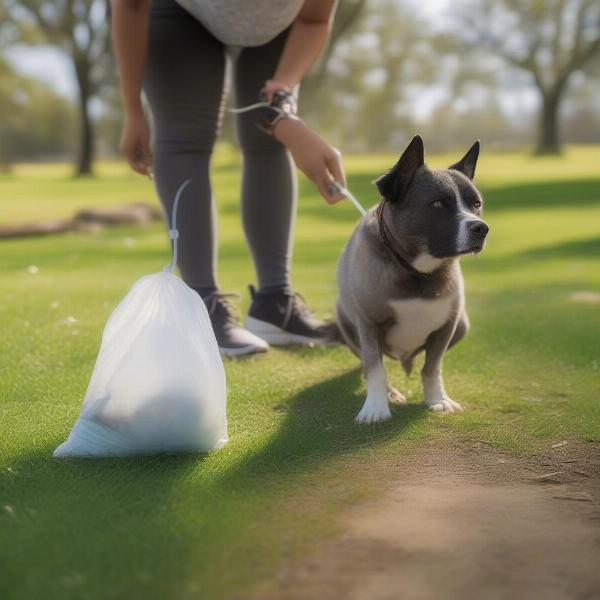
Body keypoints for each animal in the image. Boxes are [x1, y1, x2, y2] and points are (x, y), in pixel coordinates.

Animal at [336, 135, 490, 426]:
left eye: (476, 204)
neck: (417, 270)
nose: (481, 228)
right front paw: (375, 407)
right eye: (437, 204)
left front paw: (437, 399)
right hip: (346, 324)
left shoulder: (447, 327)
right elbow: (375, 368)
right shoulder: (368, 325)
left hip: (462, 324)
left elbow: (432, 368)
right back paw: (388, 393)